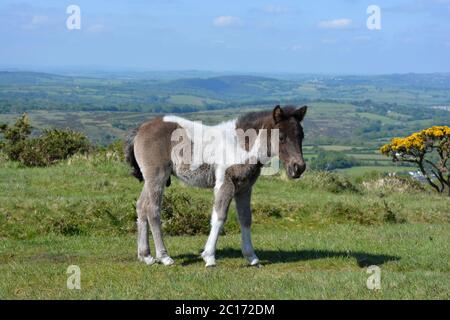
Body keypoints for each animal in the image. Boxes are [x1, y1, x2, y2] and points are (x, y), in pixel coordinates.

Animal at [125, 105, 308, 268]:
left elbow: (245, 218)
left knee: (141, 206)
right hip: (157, 176)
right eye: (281, 136)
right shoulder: (225, 183)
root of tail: (140, 129)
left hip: (150, 179)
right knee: (153, 210)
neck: (241, 145)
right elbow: (219, 216)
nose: (298, 168)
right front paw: (209, 257)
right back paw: (164, 257)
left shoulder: (244, 187)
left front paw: (252, 257)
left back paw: (146, 256)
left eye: (302, 136)